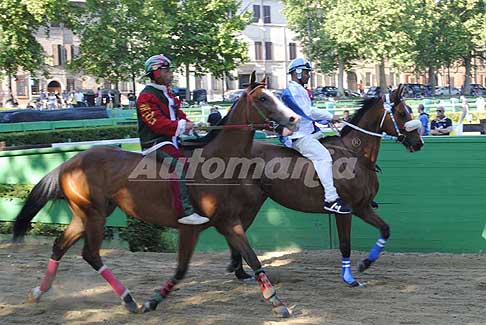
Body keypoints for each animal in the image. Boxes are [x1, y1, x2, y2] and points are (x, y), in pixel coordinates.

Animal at [11, 73, 300, 316]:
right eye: (263, 98)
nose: (294, 119)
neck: (212, 163)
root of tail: (69, 163)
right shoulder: (193, 228)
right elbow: (185, 268)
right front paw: (152, 301)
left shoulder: (227, 222)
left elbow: (249, 257)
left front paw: (276, 301)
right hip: (93, 215)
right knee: (90, 254)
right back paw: (127, 298)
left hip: (86, 214)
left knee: (59, 245)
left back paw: (38, 292)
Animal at [226, 85, 424, 284]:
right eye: (402, 113)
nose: (418, 143)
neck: (356, 155)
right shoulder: (344, 211)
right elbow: (345, 245)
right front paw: (348, 278)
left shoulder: (362, 207)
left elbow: (385, 229)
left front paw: (365, 263)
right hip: (247, 204)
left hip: (253, 203)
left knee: (237, 233)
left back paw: (240, 271)